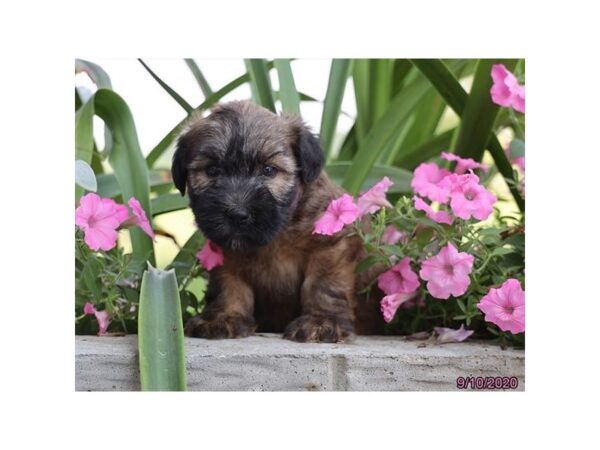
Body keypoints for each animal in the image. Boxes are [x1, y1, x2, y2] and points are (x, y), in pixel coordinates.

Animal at [172, 100, 384, 342]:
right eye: (212, 170)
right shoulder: (225, 253)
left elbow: (324, 284)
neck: (276, 235)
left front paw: (322, 321)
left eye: (268, 170)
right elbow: (228, 284)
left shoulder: (331, 243)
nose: (237, 213)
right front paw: (223, 316)